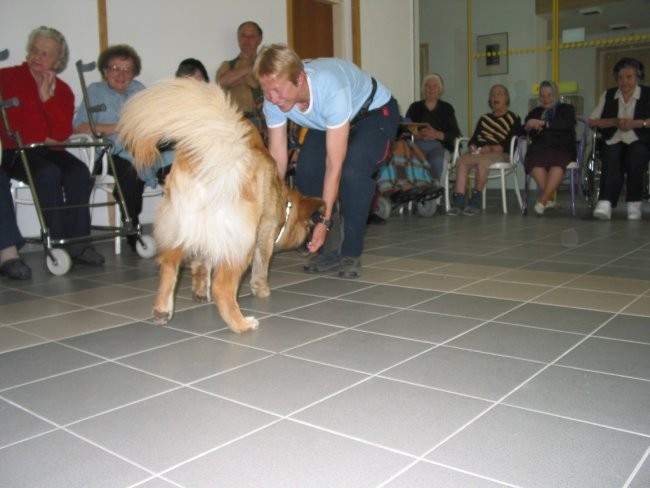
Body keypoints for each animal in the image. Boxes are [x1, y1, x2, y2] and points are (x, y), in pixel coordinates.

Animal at [117, 79, 322, 332]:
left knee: (169, 265)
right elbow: (261, 266)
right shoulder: (263, 234)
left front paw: (198, 292)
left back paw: (163, 310)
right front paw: (261, 289)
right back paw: (242, 324)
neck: (282, 198)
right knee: (222, 288)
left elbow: (201, 265)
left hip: (180, 225)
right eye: (308, 226)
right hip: (240, 240)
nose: (310, 243)